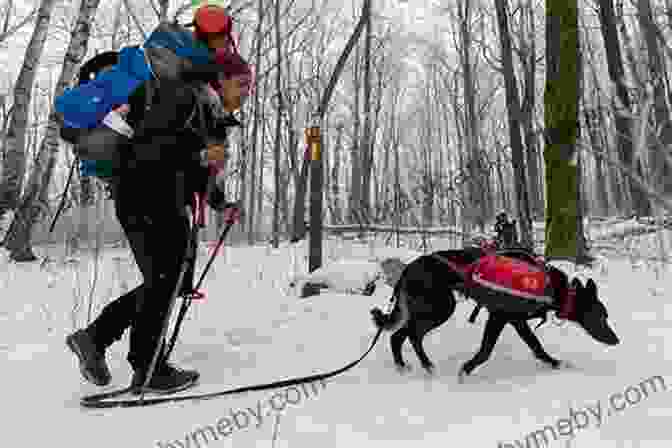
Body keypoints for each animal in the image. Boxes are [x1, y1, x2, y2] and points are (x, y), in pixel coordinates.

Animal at [372, 248, 620, 382]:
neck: (552, 287)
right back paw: (426, 365)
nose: (616, 340)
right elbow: (485, 351)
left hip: (431, 308)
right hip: (441, 307)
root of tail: (408, 268)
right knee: (413, 334)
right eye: (601, 315)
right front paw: (466, 370)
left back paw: (403, 366)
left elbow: (536, 345)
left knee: (398, 336)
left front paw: (553, 363)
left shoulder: (517, 321)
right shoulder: (499, 317)